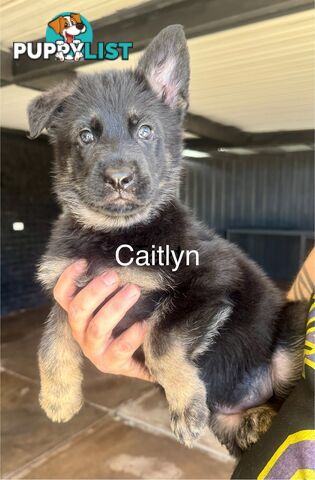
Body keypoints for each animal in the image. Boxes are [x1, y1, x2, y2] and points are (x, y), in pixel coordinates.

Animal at [28, 26, 308, 458]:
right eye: (86, 136)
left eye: (145, 131)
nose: (119, 179)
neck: (115, 234)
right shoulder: (69, 293)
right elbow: (50, 339)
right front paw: (58, 398)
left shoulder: (210, 280)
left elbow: (160, 339)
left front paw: (185, 405)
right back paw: (256, 421)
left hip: (293, 322)